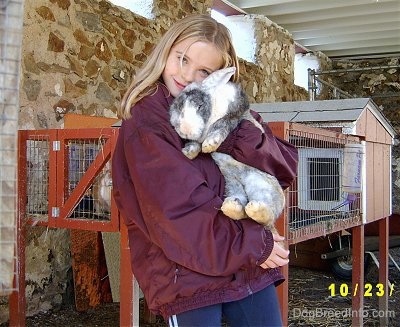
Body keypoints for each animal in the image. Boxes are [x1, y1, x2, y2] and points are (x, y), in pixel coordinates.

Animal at [169, 67, 284, 229]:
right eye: (179, 109)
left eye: (199, 106)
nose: (186, 129)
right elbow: (195, 142)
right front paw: (188, 153)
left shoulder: (235, 115)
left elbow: (221, 124)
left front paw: (209, 145)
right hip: (232, 185)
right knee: (243, 211)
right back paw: (232, 206)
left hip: (263, 187)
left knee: (266, 217)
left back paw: (255, 209)